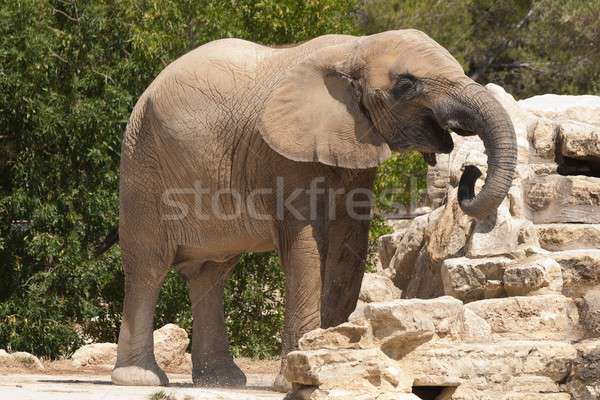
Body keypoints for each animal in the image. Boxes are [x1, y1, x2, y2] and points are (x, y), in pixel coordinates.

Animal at [110, 28, 516, 390]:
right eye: (406, 84)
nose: (471, 171)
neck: (353, 50)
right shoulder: (284, 154)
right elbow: (306, 246)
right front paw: (295, 376)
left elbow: (348, 244)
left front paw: (332, 357)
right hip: (142, 167)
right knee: (149, 266)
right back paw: (139, 379)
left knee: (211, 273)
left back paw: (220, 381)